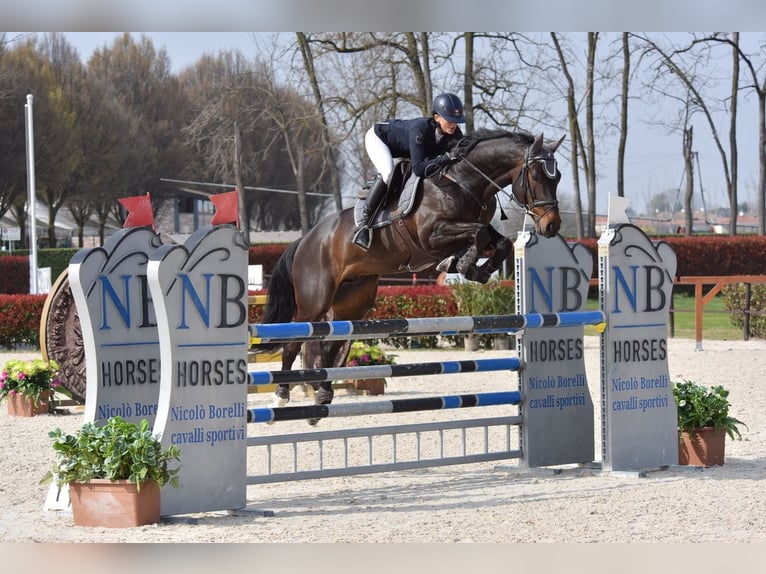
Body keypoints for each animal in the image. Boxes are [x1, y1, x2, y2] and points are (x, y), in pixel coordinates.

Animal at [258, 130, 564, 418]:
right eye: (536, 175)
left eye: (557, 176)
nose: (551, 226)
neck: (464, 182)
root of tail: (305, 240)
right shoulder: (433, 236)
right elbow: (477, 235)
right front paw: (461, 264)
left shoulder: (474, 231)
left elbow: (499, 243)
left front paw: (472, 268)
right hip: (314, 302)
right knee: (294, 342)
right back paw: (281, 395)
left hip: (353, 300)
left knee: (332, 344)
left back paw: (322, 395)